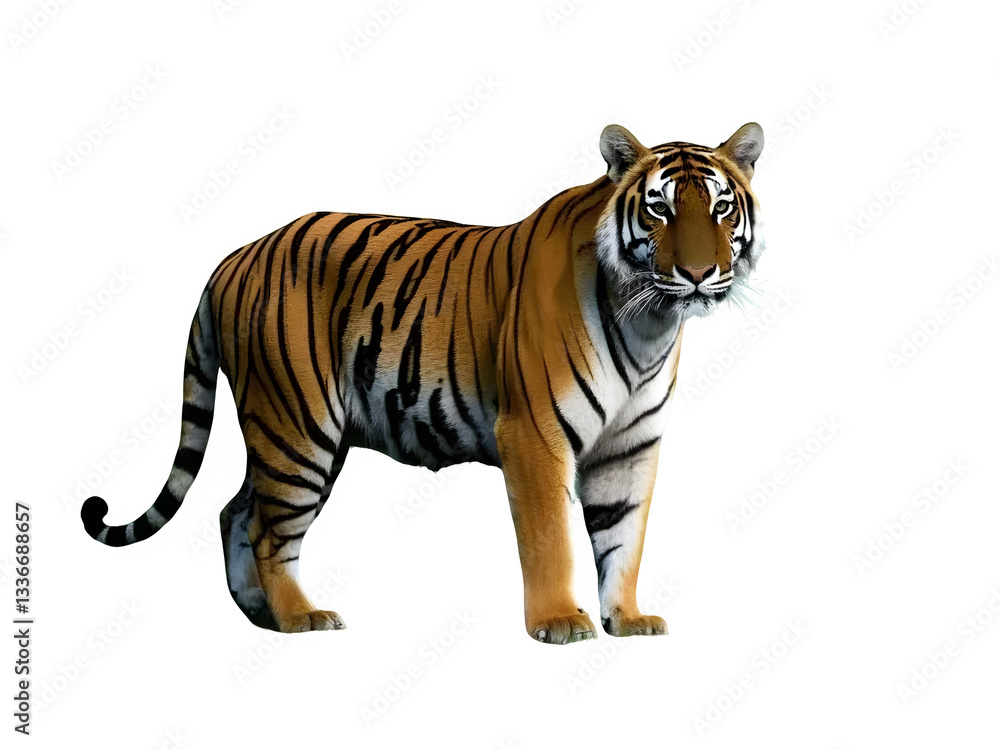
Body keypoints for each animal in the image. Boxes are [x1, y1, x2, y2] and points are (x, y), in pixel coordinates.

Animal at [81, 122, 765, 644]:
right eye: (660, 207)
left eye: (720, 207)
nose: (698, 273)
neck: (650, 323)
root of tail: (235, 256)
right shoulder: (533, 434)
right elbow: (550, 537)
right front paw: (559, 623)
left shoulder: (630, 446)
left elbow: (624, 539)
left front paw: (626, 619)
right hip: (297, 425)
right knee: (266, 529)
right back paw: (301, 618)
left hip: (296, 435)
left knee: (235, 510)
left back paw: (262, 614)